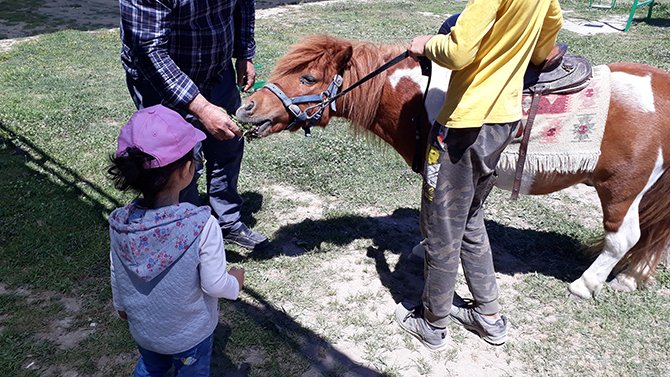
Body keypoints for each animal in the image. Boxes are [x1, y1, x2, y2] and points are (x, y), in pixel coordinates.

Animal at [236, 35, 670, 300]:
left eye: (308, 76)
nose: (246, 108)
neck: (418, 97)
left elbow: (432, 216)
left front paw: (422, 249)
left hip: (621, 188)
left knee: (623, 238)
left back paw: (586, 284)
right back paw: (629, 278)